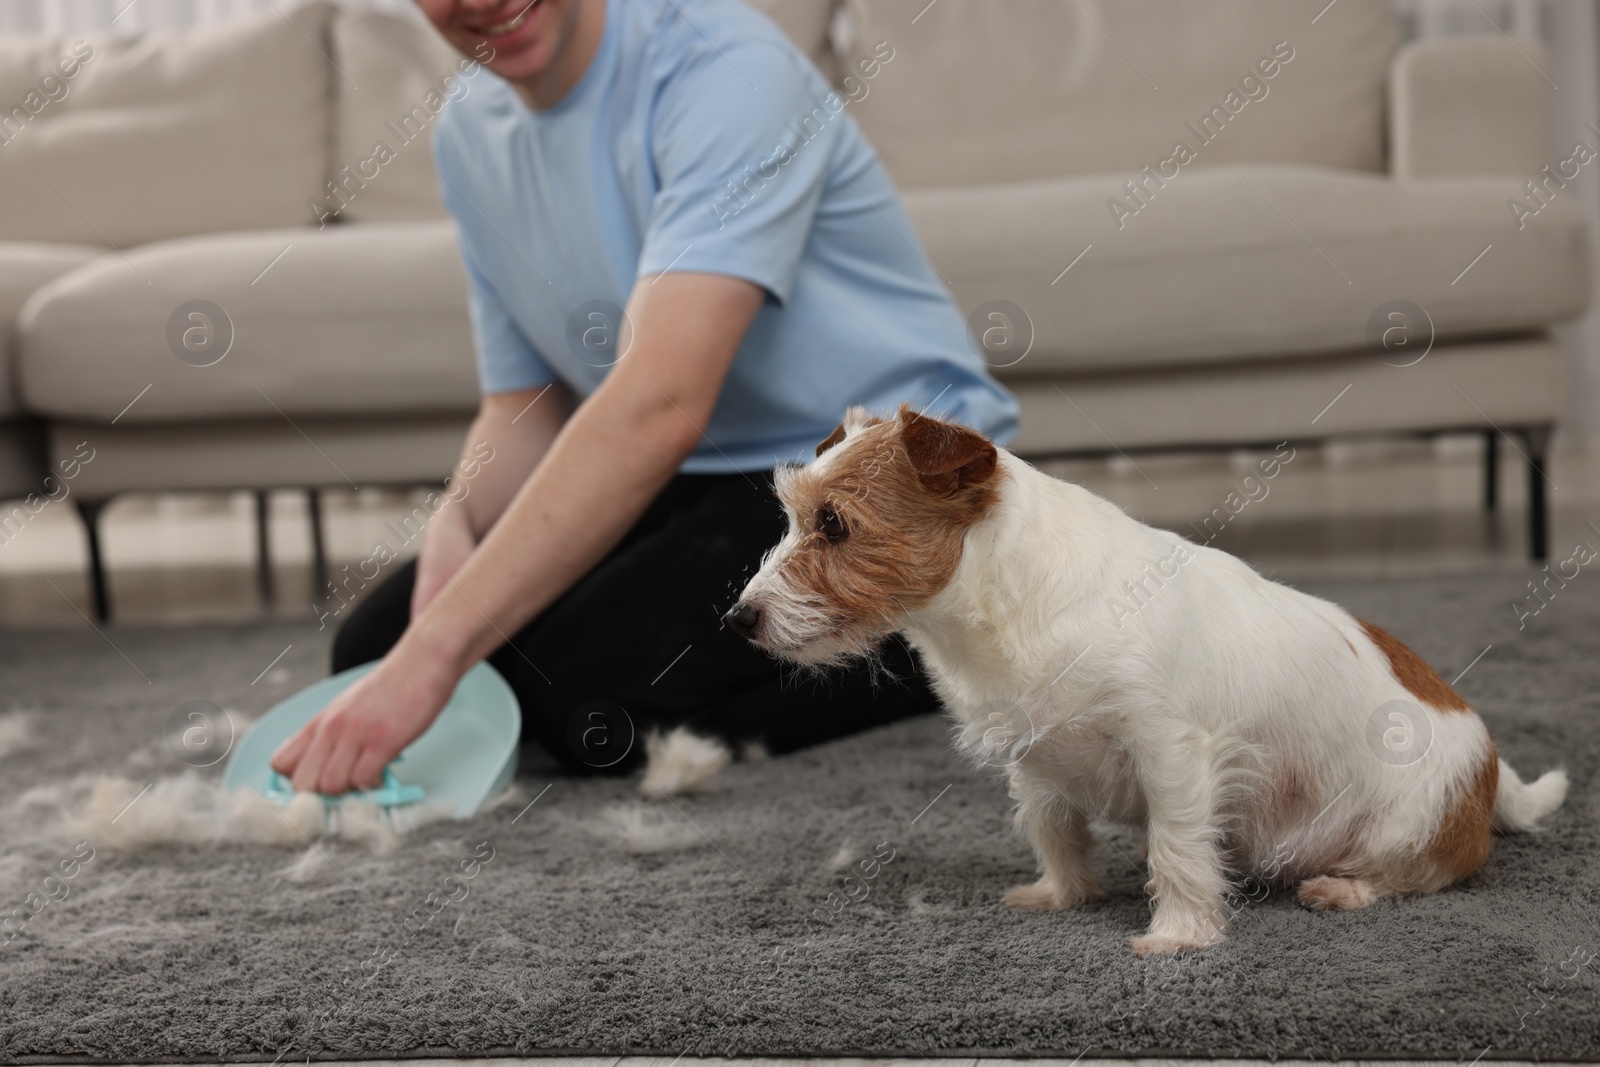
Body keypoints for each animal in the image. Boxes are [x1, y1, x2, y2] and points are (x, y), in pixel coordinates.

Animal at [732, 409, 1568, 959]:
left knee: (1423, 874)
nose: (738, 618)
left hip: (1407, 826)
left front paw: (1178, 935)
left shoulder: (1172, 753)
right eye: (794, 517)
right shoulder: (1036, 762)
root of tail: (1492, 767)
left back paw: (1345, 888)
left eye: (834, 524)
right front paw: (1062, 896)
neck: (1007, 601)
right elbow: (1055, 831)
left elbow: (1177, 848)